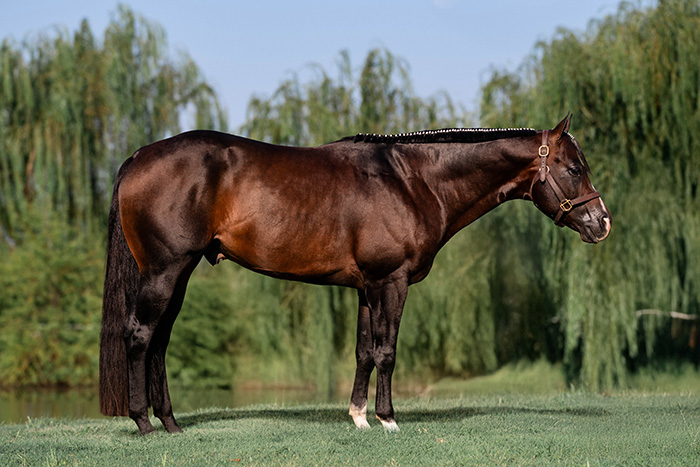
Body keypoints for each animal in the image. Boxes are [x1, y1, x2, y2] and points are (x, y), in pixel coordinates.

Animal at [99, 113, 611, 435]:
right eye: (574, 167)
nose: (602, 222)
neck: (413, 180)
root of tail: (138, 156)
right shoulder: (392, 281)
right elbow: (387, 351)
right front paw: (388, 419)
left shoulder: (367, 287)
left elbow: (364, 351)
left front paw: (360, 417)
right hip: (164, 271)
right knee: (140, 334)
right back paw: (143, 423)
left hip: (180, 273)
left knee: (160, 341)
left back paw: (170, 423)